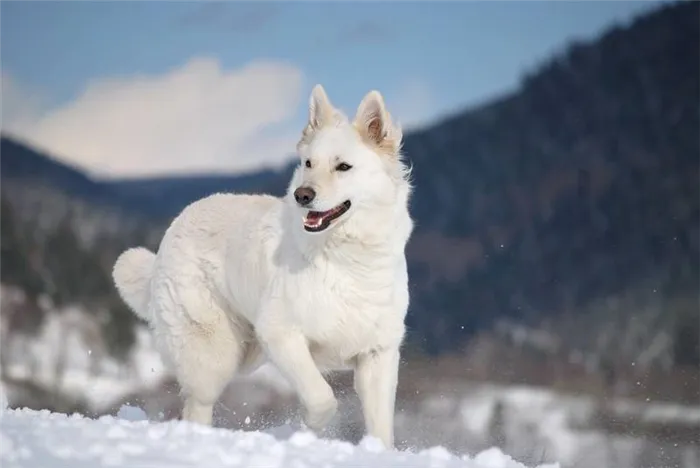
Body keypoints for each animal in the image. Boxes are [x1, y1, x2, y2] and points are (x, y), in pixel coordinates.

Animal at [112, 85, 412, 450]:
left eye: (343, 167)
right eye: (308, 163)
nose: (302, 195)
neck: (346, 258)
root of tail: (173, 229)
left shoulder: (378, 354)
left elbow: (380, 425)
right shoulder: (281, 334)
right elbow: (322, 398)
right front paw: (307, 427)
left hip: (246, 353)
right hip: (214, 355)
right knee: (197, 404)